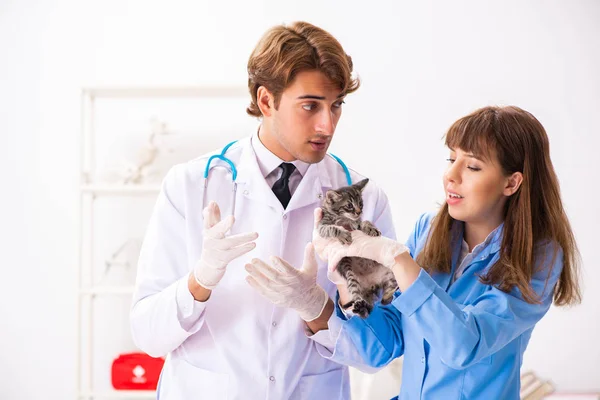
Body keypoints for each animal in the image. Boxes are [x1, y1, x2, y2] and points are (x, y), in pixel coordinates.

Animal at [318, 179, 398, 318]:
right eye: (349, 205)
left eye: (360, 203)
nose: (359, 212)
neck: (344, 218)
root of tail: (372, 285)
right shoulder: (322, 226)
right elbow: (332, 228)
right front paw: (343, 234)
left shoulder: (357, 225)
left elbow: (364, 222)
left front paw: (371, 228)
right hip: (350, 276)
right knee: (358, 296)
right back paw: (360, 305)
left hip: (388, 270)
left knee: (386, 298)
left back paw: (391, 292)